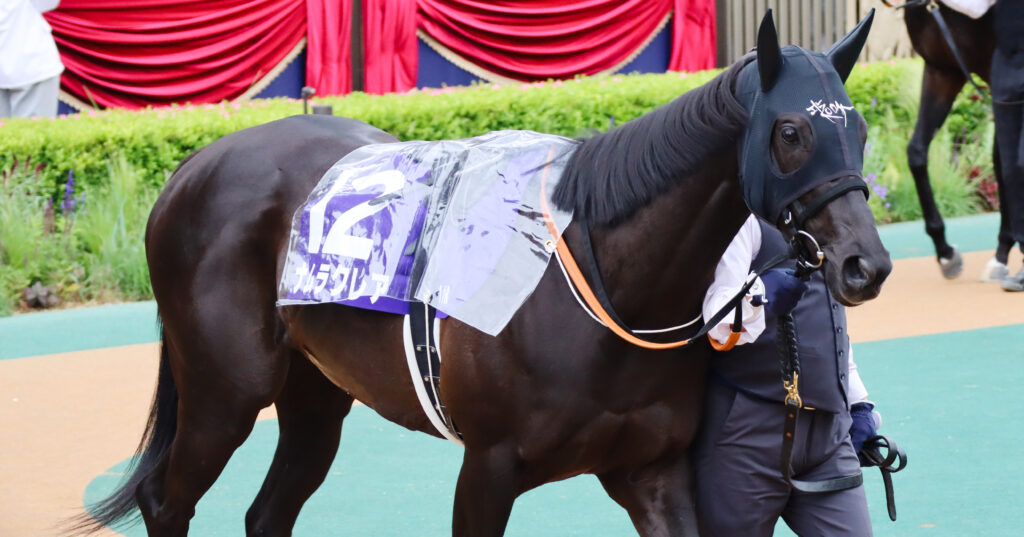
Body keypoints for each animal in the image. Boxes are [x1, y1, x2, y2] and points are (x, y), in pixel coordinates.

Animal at [76, 11, 890, 537]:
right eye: (791, 132)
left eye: (857, 126)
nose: (866, 264)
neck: (603, 286)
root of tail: (192, 167)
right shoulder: (489, 469)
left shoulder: (653, 473)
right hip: (225, 392)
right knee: (166, 501)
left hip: (315, 394)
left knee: (267, 512)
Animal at [900, 1, 1016, 277]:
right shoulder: (943, 72)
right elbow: (916, 151)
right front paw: (945, 251)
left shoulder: (999, 79)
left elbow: (1001, 161)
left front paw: (1003, 251)